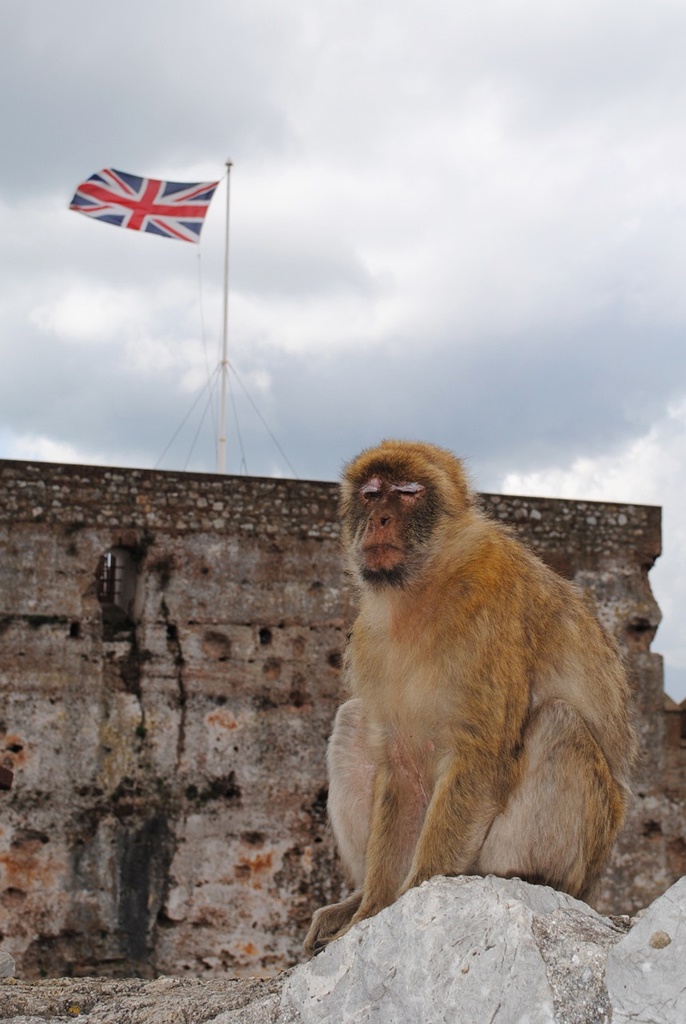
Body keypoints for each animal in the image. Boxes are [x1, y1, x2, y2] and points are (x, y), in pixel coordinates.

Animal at [307, 438, 638, 950]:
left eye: (408, 492)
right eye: (371, 493)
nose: (380, 518)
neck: (423, 587)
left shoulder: (489, 613)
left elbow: (481, 756)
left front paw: (413, 894)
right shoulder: (370, 641)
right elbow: (400, 767)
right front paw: (370, 910)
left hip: (579, 854)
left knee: (559, 722)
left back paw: (526, 877)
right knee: (352, 720)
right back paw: (353, 898)